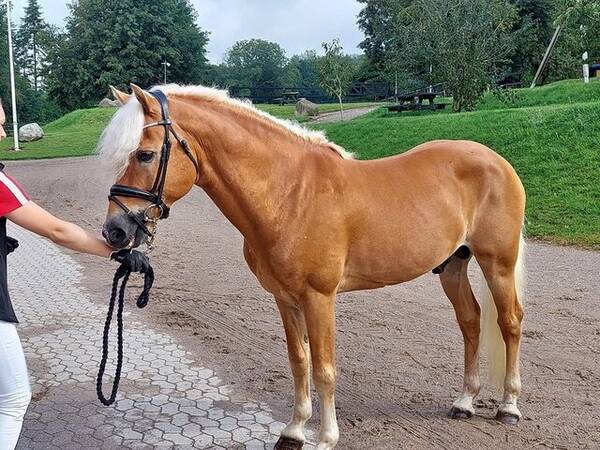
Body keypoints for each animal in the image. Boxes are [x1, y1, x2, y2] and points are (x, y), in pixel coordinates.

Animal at [98, 84, 524, 450]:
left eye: (145, 154)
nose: (114, 230)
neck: (289, 194)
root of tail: (496, 160)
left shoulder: (319, 298)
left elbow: (324, 368)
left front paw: (325, 437)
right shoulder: (285, 299)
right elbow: (299, 361)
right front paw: (294, 431)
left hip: (497, 263)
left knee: (509, 322)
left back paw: (508, 407)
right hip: (452, 265)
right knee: (470, 321)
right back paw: (464, 402)